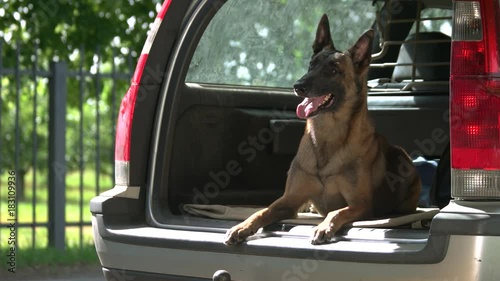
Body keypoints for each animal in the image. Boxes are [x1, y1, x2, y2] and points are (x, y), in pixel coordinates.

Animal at [225, 14, 420, 244]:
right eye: (311, 65)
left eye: (334, 71)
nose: (298, 86)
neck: (327, 132)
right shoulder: (289, 200)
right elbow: (262, 211)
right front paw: (242, 226)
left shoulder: (361, 204)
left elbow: (336, 211)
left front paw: (324, 227)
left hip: (402, 159)